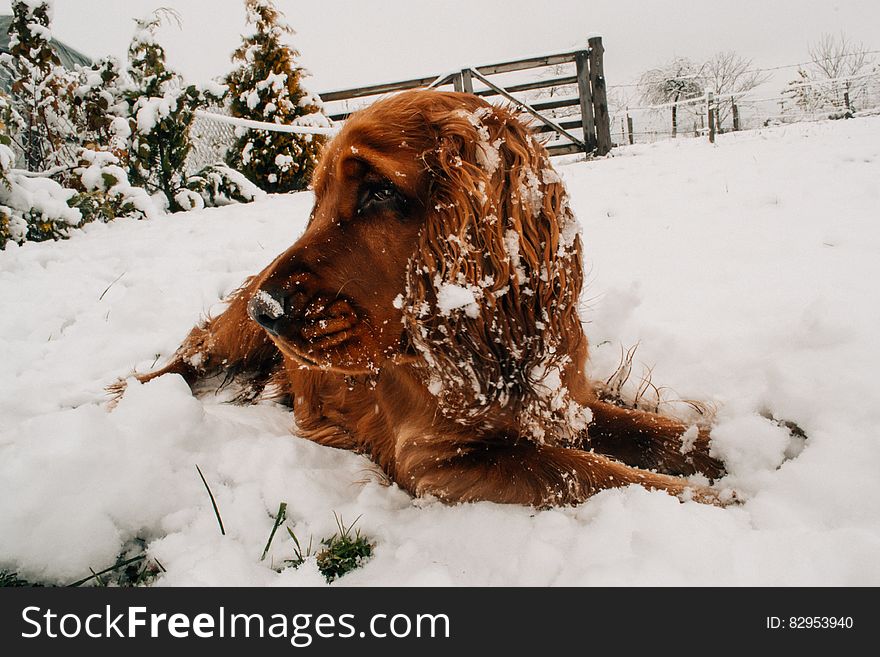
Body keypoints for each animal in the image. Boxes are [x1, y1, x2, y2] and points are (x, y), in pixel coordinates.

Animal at [129, 89, 720, 504]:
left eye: (379, 191)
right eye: (317, 200)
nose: (265, 309)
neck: (489, 350)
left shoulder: (566, 402)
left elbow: (661, 432)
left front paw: (731, 451)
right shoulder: (437, 462)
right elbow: (587, 472)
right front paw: (716, 500)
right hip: (229, 336)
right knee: (186, 356)